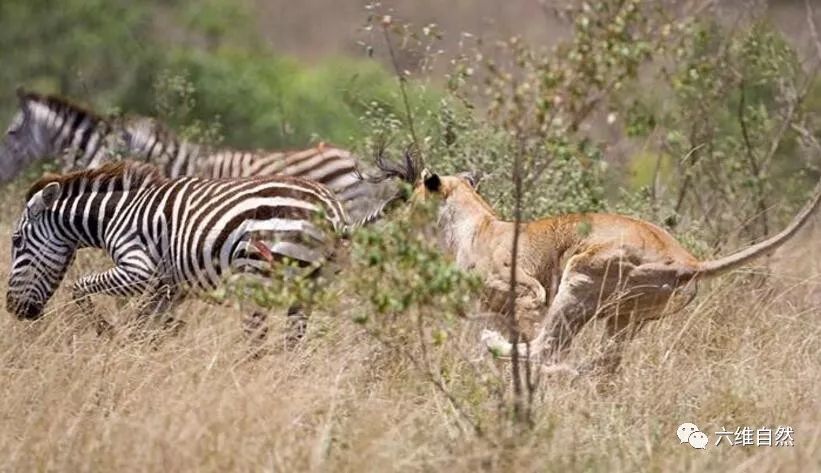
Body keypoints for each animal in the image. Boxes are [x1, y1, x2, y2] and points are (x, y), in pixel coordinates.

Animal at [4, 160, 356, 342]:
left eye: (17, 241)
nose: (14, 310)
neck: (112, 216)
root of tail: (332, 209)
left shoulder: (138, 268)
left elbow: (78, 287)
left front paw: (106, 330)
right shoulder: (170, 287)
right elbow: (144, 326)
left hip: (256, 276)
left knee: (255, 340)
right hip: (312, 283)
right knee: (292, 342)